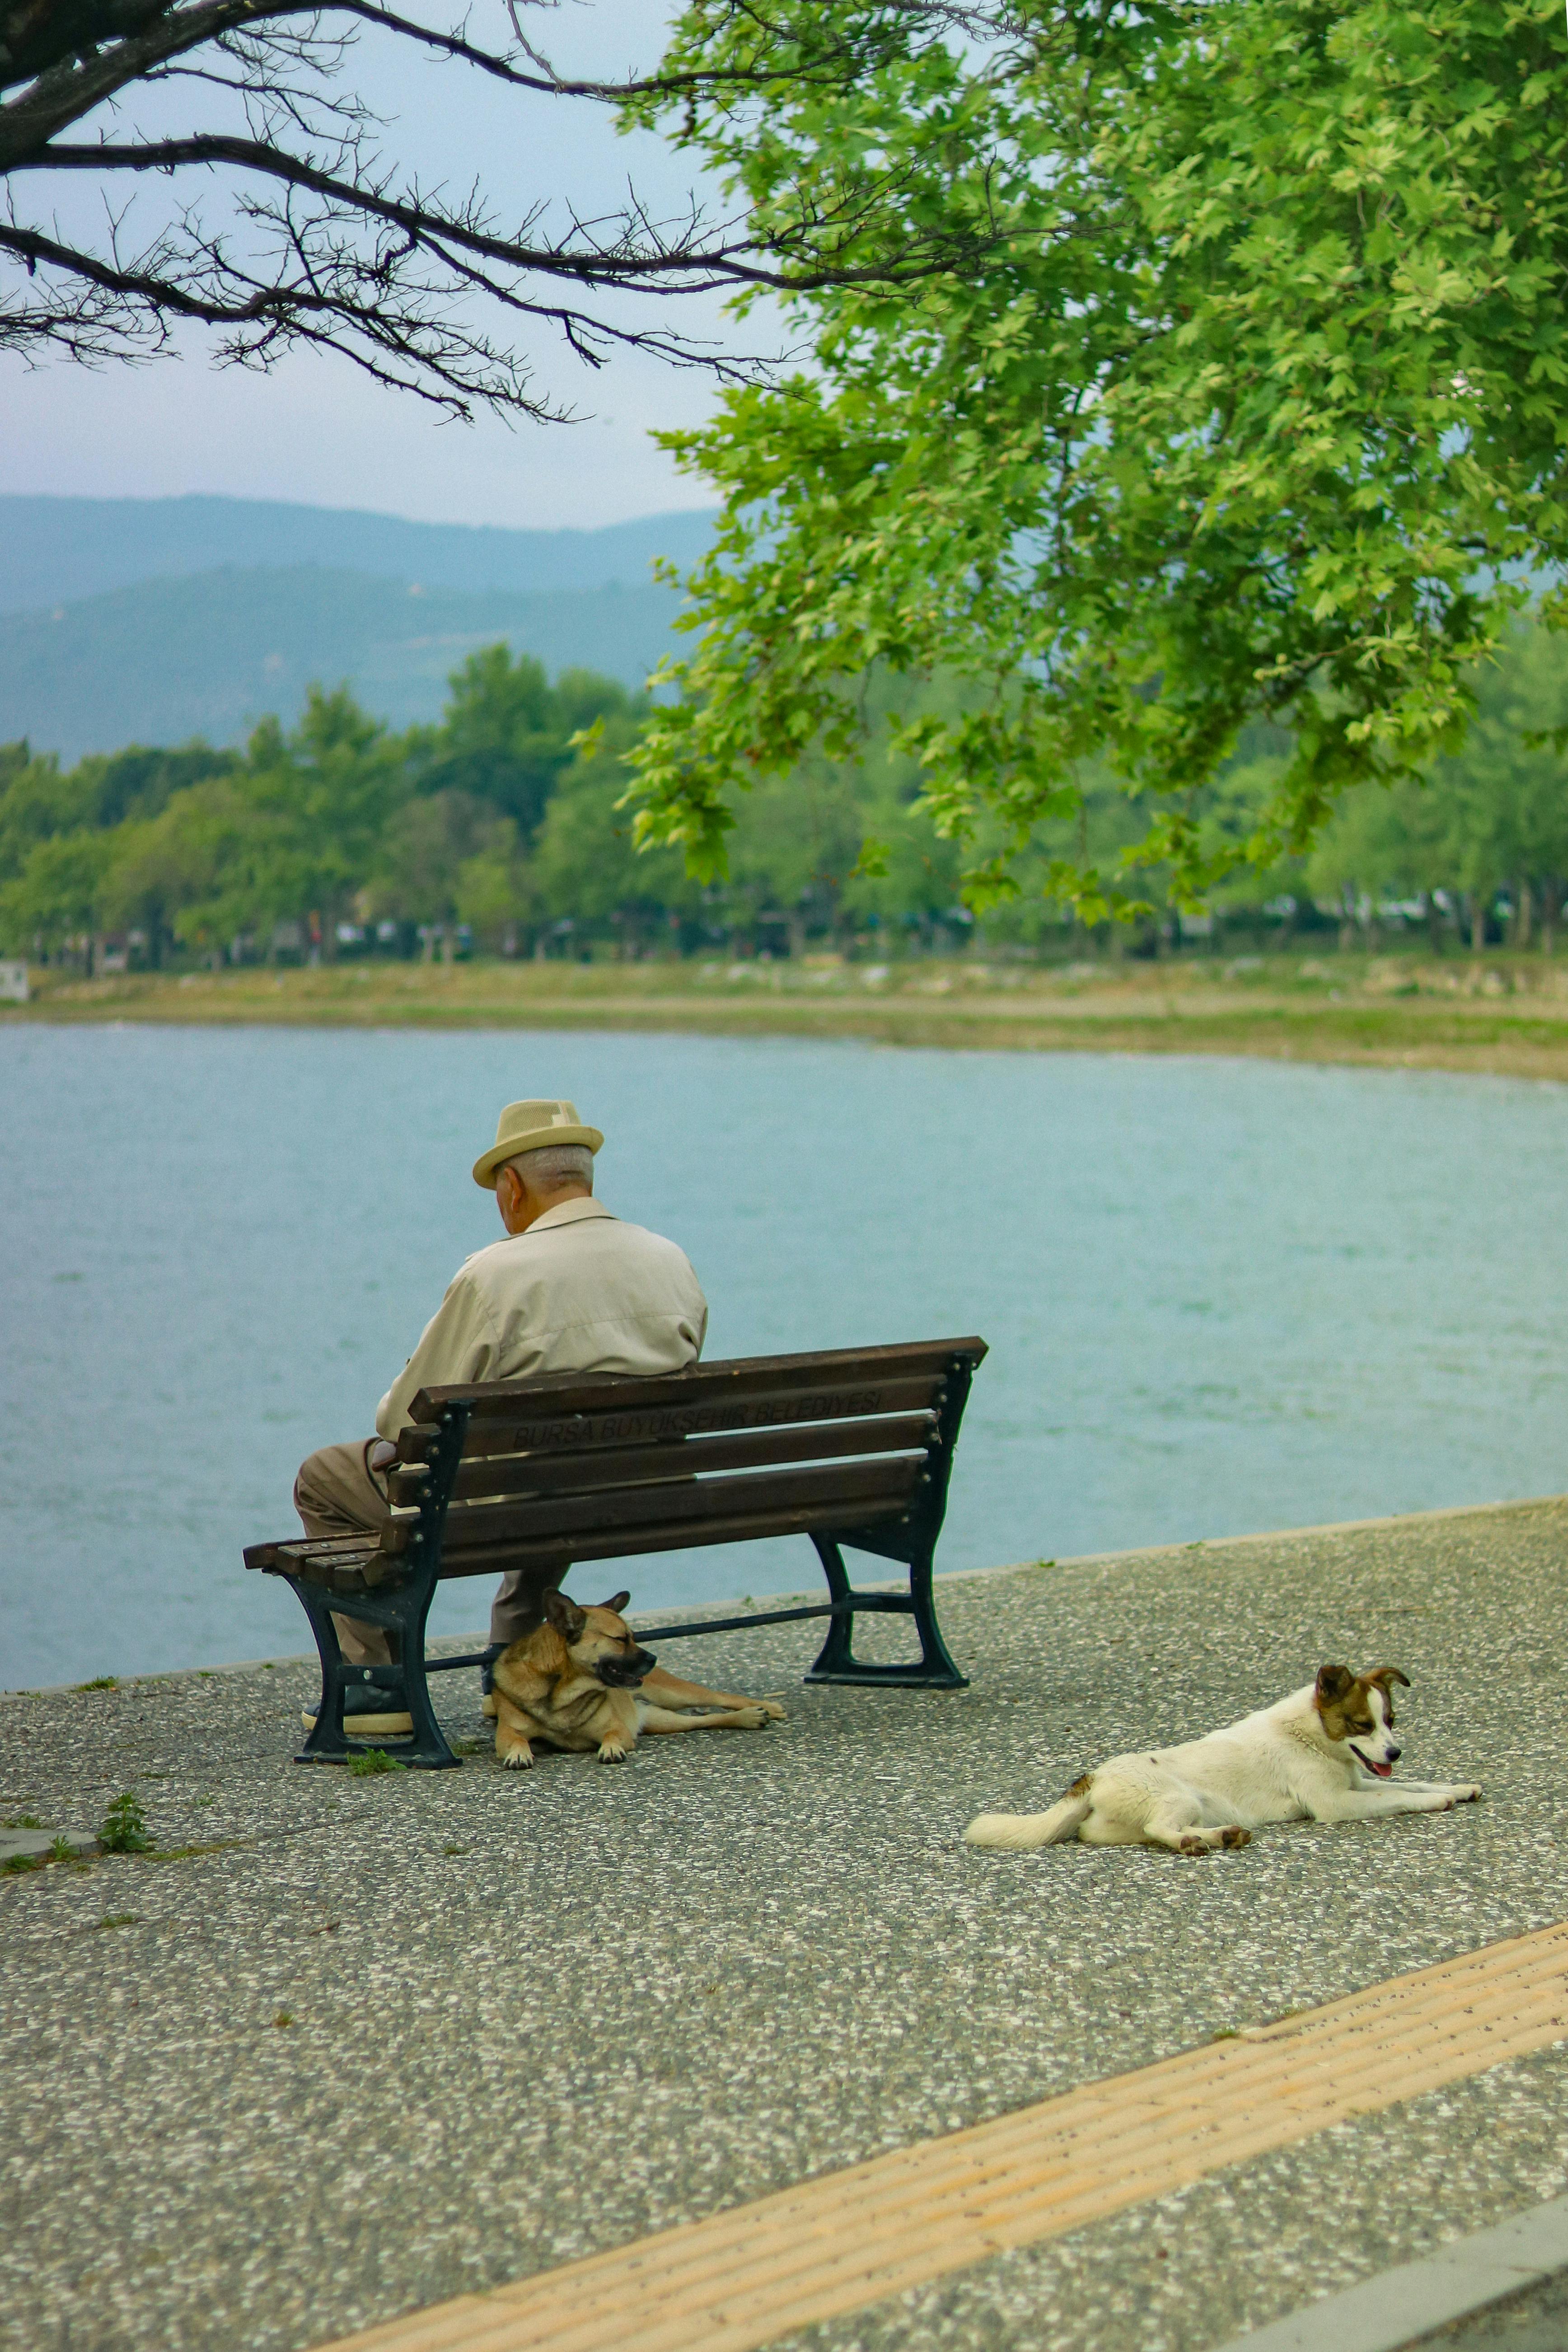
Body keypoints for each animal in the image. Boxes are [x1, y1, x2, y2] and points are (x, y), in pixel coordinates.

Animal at [491, 1590, 785, 1768]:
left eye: (633, 1636)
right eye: (621, 1639)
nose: (653, 1658)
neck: (563, 1691)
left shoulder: (618, 1728)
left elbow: (612, 1735)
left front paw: (610, 1749)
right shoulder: (506, 1733)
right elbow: (517, 1739)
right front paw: (520, 1752)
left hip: (675, 1694)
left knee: (719, 1698)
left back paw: (762, 1710)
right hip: (665, 1721)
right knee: (705, 1721)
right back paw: (748, 1718)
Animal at [969, 1665, 1485, 1863]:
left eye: (1391, 1720)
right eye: (1362, 1724)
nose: (1395, 1753)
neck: (1310, 1735)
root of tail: (1092, 1778)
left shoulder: (1357, 1785)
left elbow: (1410, 1785)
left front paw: (1456, 1788)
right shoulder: (1336, 1804)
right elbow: (1398, 1797)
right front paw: (1438, 1801)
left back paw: (1220, 1836)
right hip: (1178, 1796)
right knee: (1160, 1829)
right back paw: (1200, 1842)